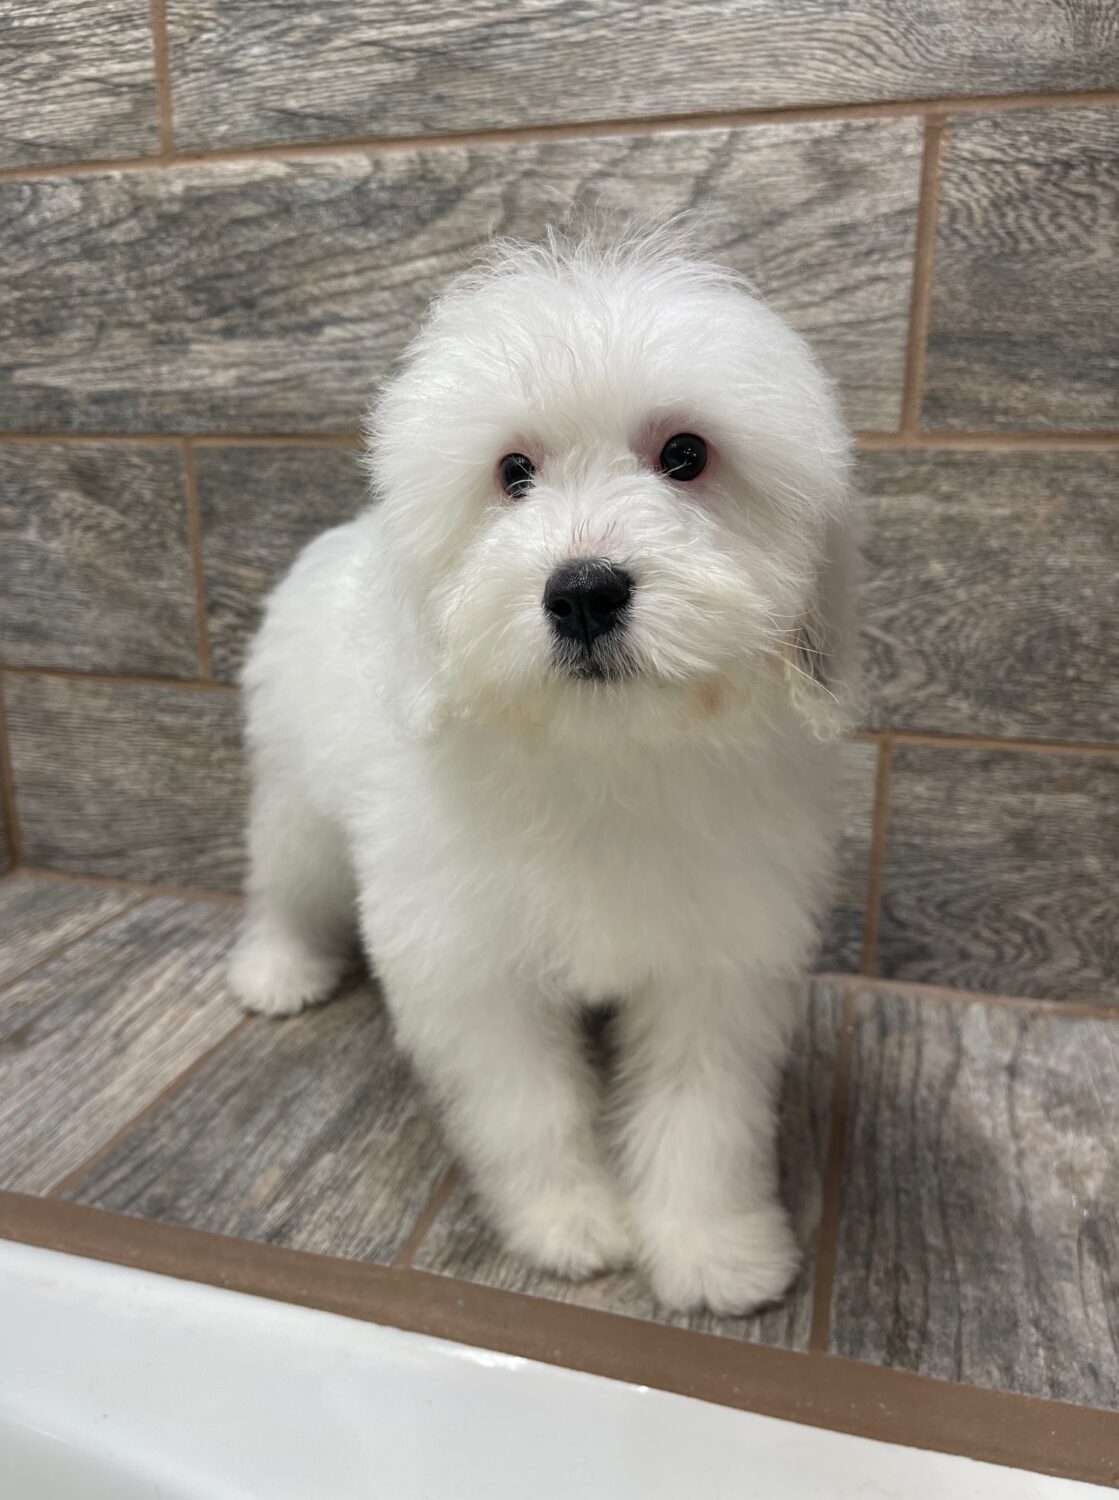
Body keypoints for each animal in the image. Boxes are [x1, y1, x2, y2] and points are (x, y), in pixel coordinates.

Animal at [229, 225, 857, 1315]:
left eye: (686, 456)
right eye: (512, 472)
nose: (585, 591)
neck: (597, 750)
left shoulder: (720, 961)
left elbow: (702, 1110)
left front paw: (713, 1248)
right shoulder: (469, 964)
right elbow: (526, 1104)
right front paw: (567, 1223)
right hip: (298, 796)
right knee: (286, 876)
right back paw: (277, 968)